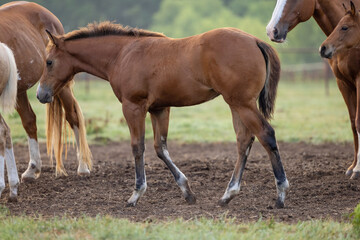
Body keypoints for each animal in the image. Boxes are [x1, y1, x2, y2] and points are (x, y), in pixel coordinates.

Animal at [0, 1, 93, 180]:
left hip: (61, 86)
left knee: (72, 117)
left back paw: (83, 166)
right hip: (20, 91)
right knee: (29, 120)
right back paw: (32, 168)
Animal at [36, 21, 290, 207]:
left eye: (49, 62)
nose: (41, 94)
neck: (122, 54)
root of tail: (255, 40)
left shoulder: (133, 106)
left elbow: (138, 146)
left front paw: (136, 194)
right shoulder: (159, 108)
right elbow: (160, 147)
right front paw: (187, 191)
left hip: (242, 103)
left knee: (266, 135)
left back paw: (280, 193)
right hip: (236, 104)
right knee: (244, 140)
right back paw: (228, 194)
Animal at [266, 0, 360, 179]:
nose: (271, 31)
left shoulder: (359, 80)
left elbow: (359, 122)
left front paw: (358, 169)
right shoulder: (343, 83)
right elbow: (353, 122)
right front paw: (353, 167)